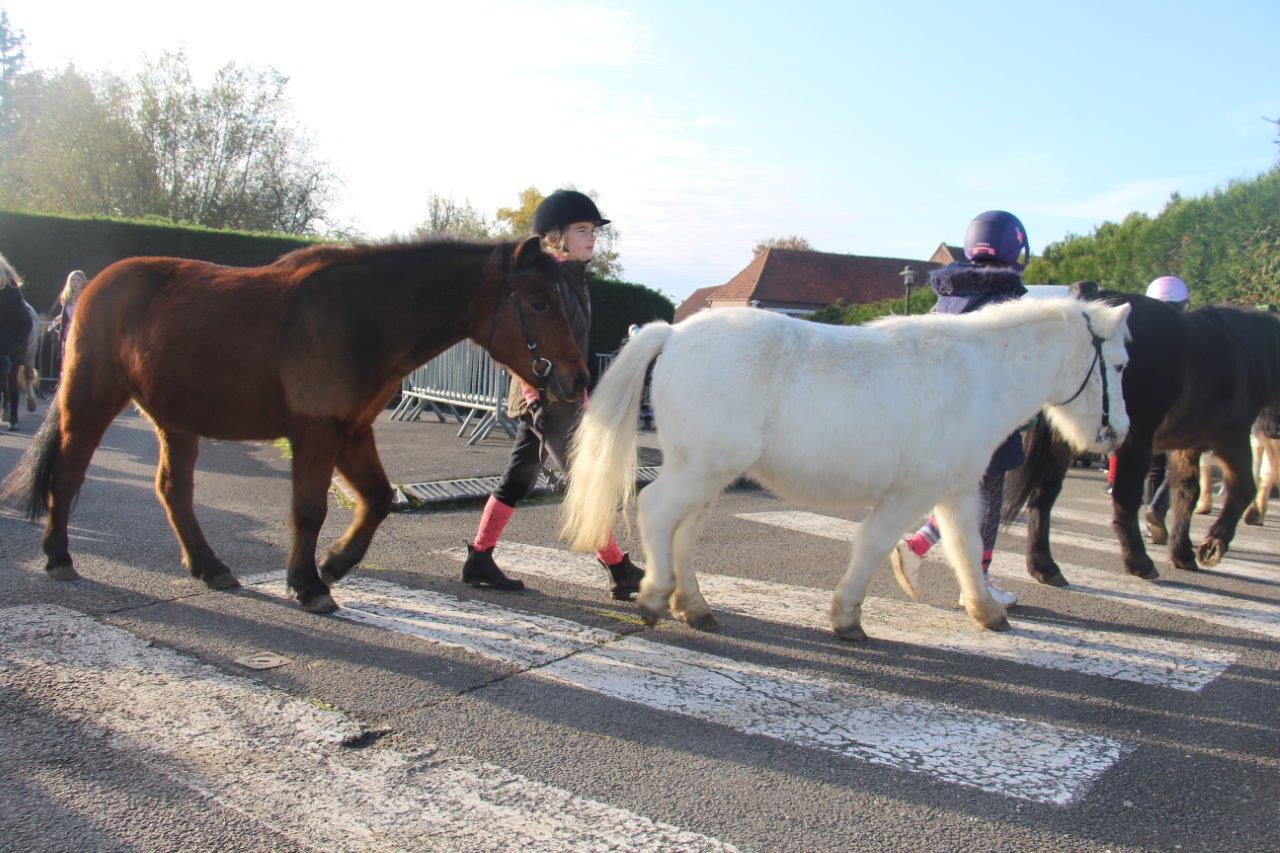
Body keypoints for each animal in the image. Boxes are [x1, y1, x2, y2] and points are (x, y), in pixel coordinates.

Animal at [0, 235, 588, 607]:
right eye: (539, 302)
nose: (578, 378)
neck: (363, 315)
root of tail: (99, 284)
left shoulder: (352, 432)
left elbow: (378, 500)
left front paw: (334, 563)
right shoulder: (316, 433)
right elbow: (309, 510)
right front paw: (309, 583)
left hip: (176, 419)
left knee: (173, 490)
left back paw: (210, 567)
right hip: (90, 401)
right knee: (67, 475)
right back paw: (58, 556)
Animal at [560, 295, 1131, 635]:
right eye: (1122, 365)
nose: (1119, 432)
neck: (977, 375)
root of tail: (674, 334)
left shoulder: (957, 488)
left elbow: (967, 548)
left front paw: (986, 610)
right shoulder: (911, 490)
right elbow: (875, 544)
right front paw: (848, 615)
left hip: (706, 469)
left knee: (683, 531)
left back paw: (694, 605)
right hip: (701, 467)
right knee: (656, 511)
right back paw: (656, 595)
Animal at [1003, 281, 1280, 581]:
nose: (1273, 431)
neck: (1244, 354)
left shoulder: (1187, 446)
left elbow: (1186, 492)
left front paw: (1182, 551)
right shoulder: (1231, 438)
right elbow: (1243, 487)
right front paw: (1213, 544)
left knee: (1044, 494)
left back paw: (1043, 564)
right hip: (1133, 440)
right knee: (1123, 497)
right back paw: (1138, 560)